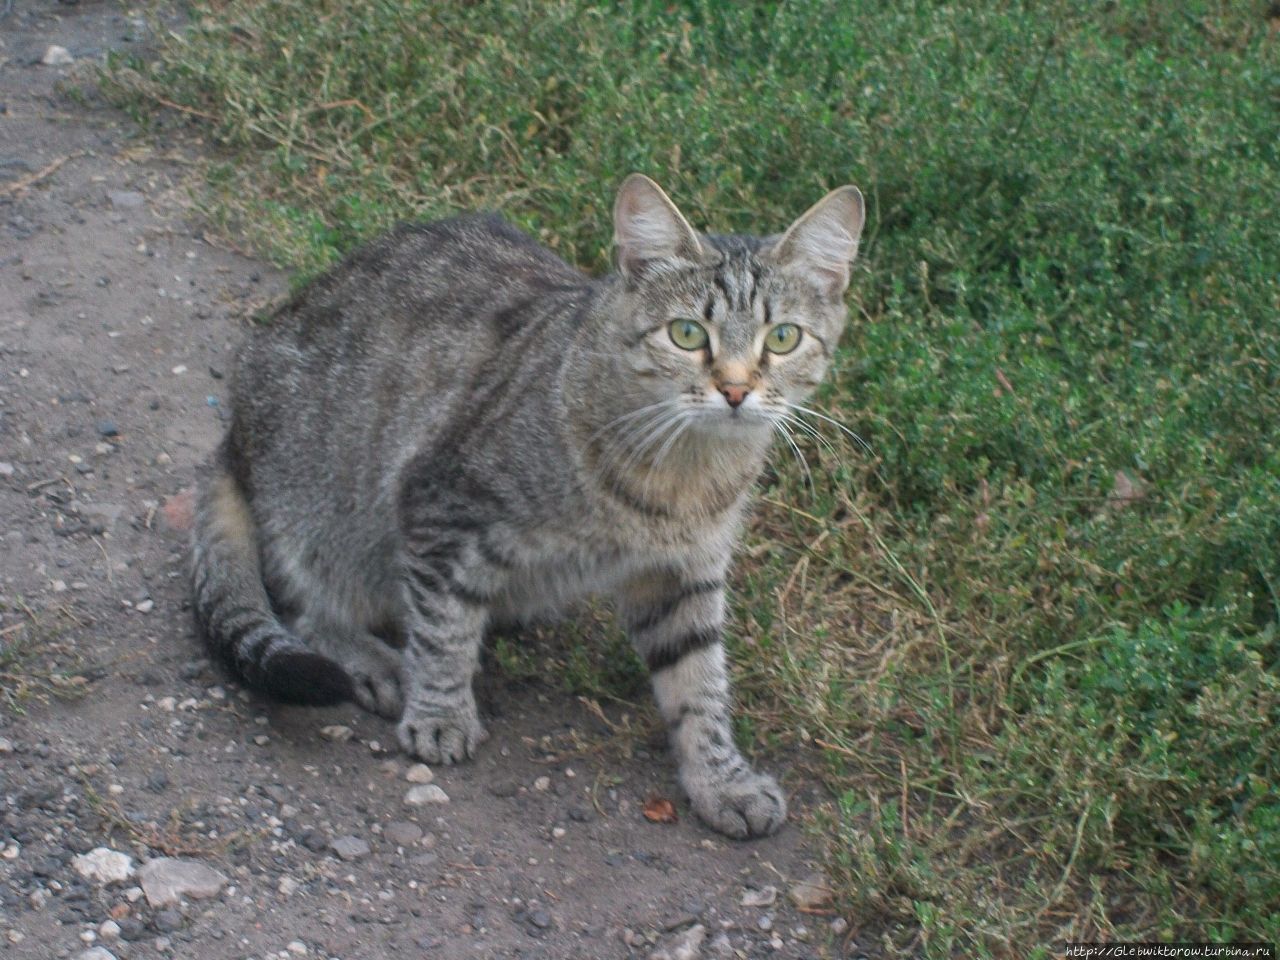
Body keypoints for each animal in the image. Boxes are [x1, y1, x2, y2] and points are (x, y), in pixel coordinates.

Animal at [189, 176, 865, 839]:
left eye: (783, 339)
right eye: (687, 334)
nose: (735, 389)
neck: (683, 475)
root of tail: (230, 434)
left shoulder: (684, 575)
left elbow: (700, 686)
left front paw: (721, 780)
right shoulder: (440, 508)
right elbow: (443, 631)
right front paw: (440, 711)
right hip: (324, 515)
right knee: (307, 609)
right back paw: (376, 662)